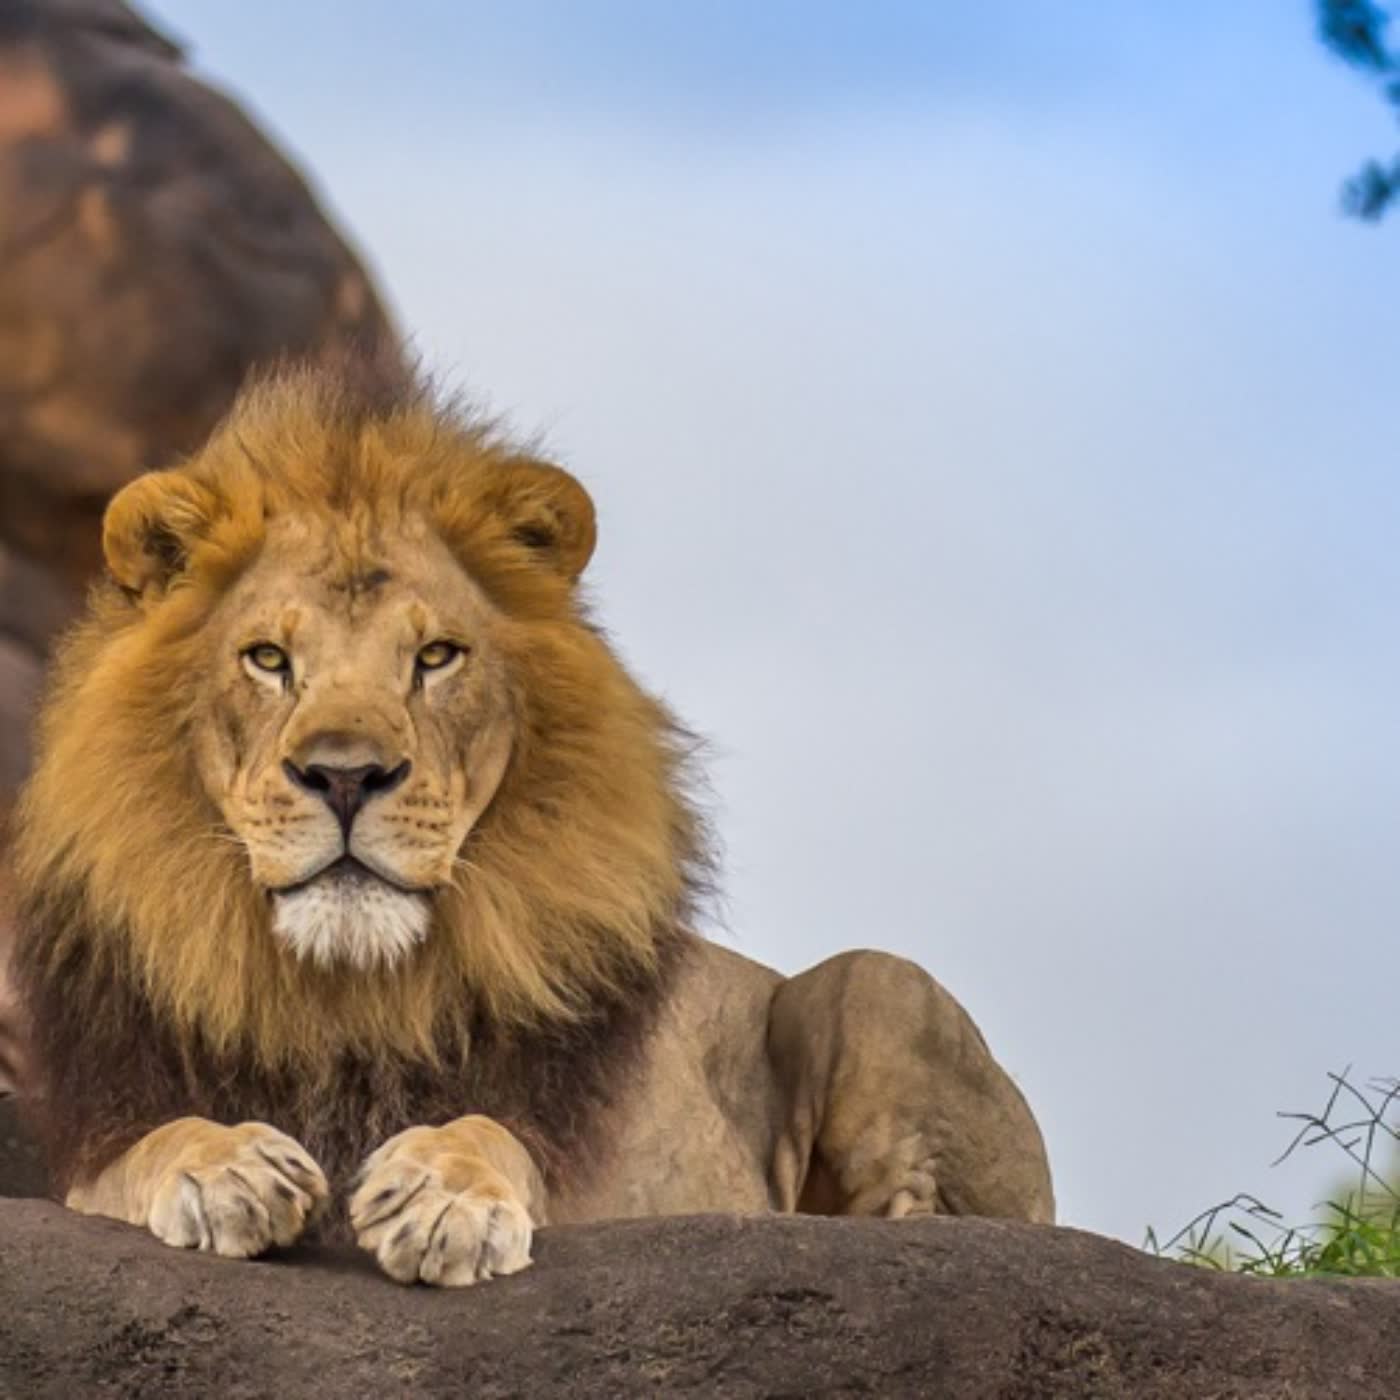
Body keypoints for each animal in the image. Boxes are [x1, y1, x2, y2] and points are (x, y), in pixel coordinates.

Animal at [10, 364, 1052, 1288]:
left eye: (436, 657)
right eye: (267, 658)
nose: (346, 776)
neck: (346, 996)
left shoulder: (587, 1168)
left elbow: (492, 1131)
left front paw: (441, 1194)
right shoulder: (95, 1137)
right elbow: (146, 1146)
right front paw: (226, 1166)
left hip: (877, 984)